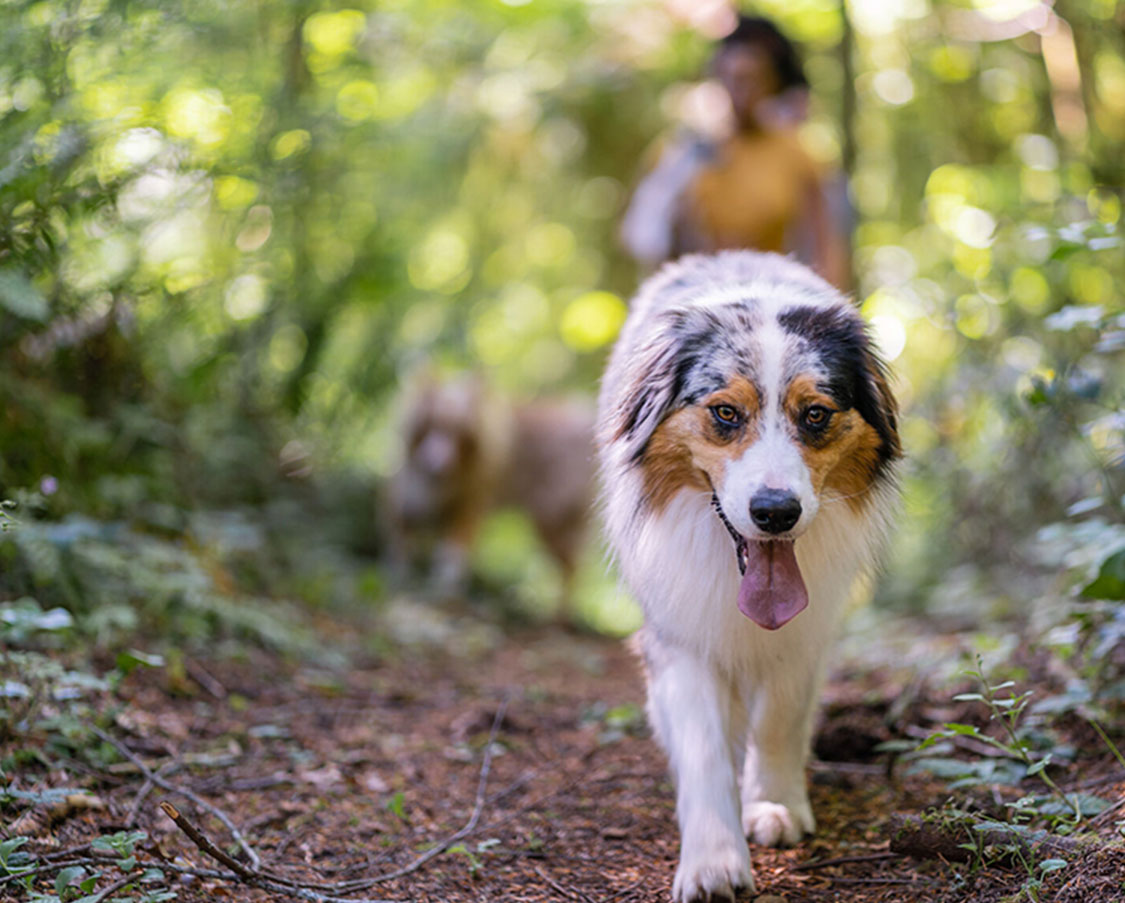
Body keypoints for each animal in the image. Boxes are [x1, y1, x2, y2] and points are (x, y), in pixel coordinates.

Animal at [389, 371, 594, 616]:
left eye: (458, 432)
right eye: (431, 425)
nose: (438, 465)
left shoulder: (469, 505)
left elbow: (452, 555)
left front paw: (445, 590)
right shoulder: (407, 501)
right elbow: (403, 543)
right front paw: (403, 578)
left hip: (553, 521)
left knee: (571, 568)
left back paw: (559, 613)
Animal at [594, 250, 900, 899]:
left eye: (816, 414)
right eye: (725, 413)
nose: (775, 512)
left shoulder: (808, 633)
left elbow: (781, 717)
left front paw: (775, 805)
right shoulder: (678, 632)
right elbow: (703, 745)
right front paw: (713, 861)